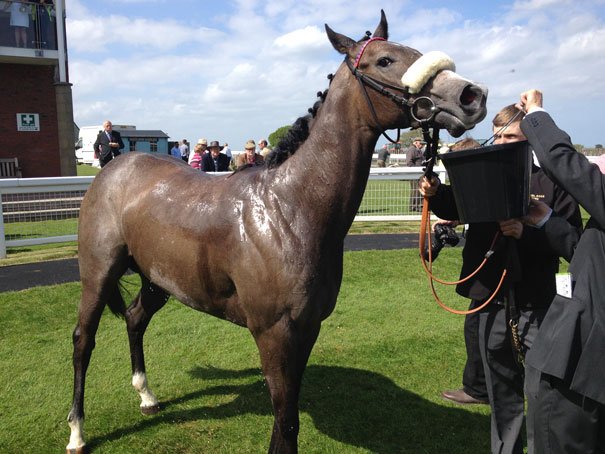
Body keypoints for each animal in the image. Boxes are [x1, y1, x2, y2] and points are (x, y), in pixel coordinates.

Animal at [66, 10, 488, 454]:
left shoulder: (306, 330)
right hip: (98, 274)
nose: (471, 95)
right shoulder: (274, 333)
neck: (290, 209)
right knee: (83, 339)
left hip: (158, 279)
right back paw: (77, 431)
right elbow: (285, 422)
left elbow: (286, 419)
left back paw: (146, 396)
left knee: (135, 319)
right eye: (385, 61)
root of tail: (114, 168)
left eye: (416, 53)